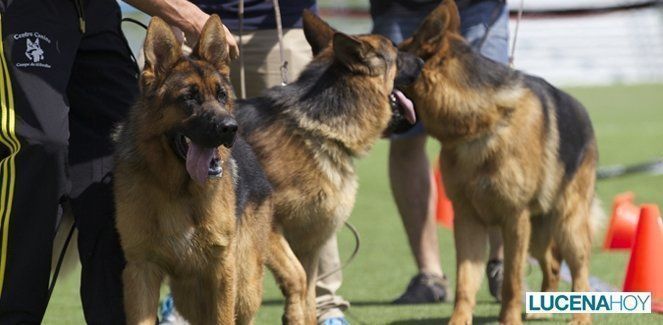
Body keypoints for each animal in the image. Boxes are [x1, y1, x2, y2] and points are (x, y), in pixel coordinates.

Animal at [113, 16, 308, 322]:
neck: (177, 190)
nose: (230, 128)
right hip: (190, 294)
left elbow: (223, 318)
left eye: (221, 95)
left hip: (244, 286)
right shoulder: (140, 270)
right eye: (189, 98)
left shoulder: (221, 269)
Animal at [231, 10, 422, 318]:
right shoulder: (270, 230)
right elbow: (297, 279)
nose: (424, 62)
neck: (316, 128)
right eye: (396, 53)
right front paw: (291, 315)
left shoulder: (308, 242)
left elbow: (309, 295)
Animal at [402, 1, 604, 322]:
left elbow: (512, 279)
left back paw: (580, 317)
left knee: (580, 270)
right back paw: (542, 310)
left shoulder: (514, 219)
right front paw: (459, 320)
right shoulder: (467, 220)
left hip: (567, 225)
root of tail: (583, 113)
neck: (480, 123)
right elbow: (465, 282)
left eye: (394, 55)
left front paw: (508, 319)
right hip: (538, 231)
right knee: (553, 265)